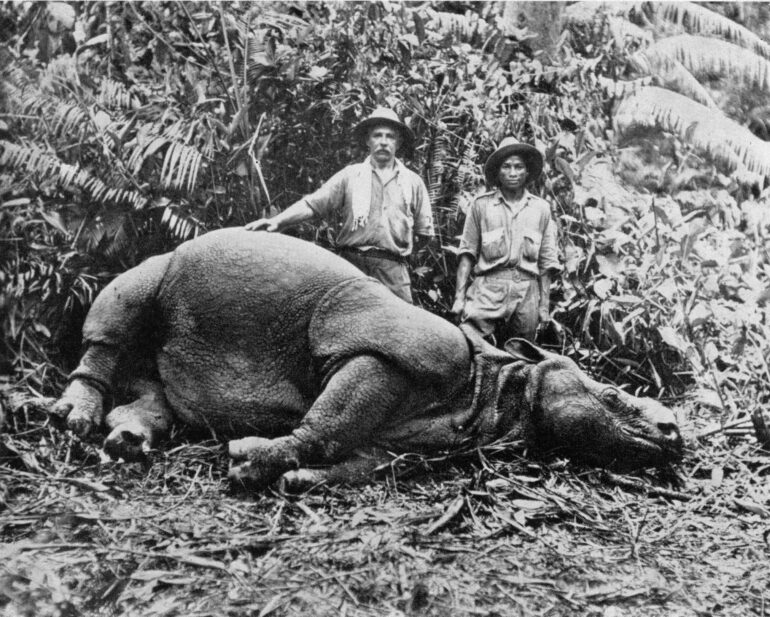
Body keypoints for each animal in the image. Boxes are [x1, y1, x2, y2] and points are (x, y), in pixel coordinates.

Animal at [51, 229, 682, 490]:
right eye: (614, 396)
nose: (675, 432)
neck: (500, 385)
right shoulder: (389, 353)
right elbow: (333, 418)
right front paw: (254, 459)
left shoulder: (411, 442)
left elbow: (365, 458)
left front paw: (296, 478)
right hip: (168, 264)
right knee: (131, 294)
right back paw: (75, 417)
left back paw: (126, 440)